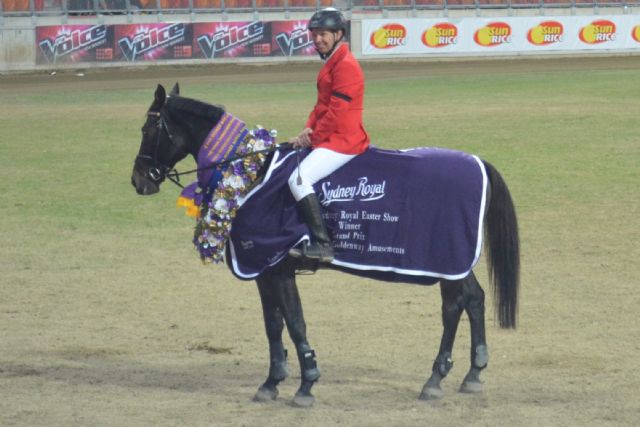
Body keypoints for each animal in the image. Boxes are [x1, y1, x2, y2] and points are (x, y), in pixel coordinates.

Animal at [131, 83, 520, 408]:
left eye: (147, 130)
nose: (138, 180)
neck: (251, 172)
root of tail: (478, 162)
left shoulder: (277, 267)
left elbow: (295, 322)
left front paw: (306, 386)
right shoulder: (264, 271)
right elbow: (273, 325)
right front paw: (272, 383)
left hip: (447, 258)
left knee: (454, 306)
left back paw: (435, 379)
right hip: (453, 262)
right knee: (473, 298)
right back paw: (471, 374)